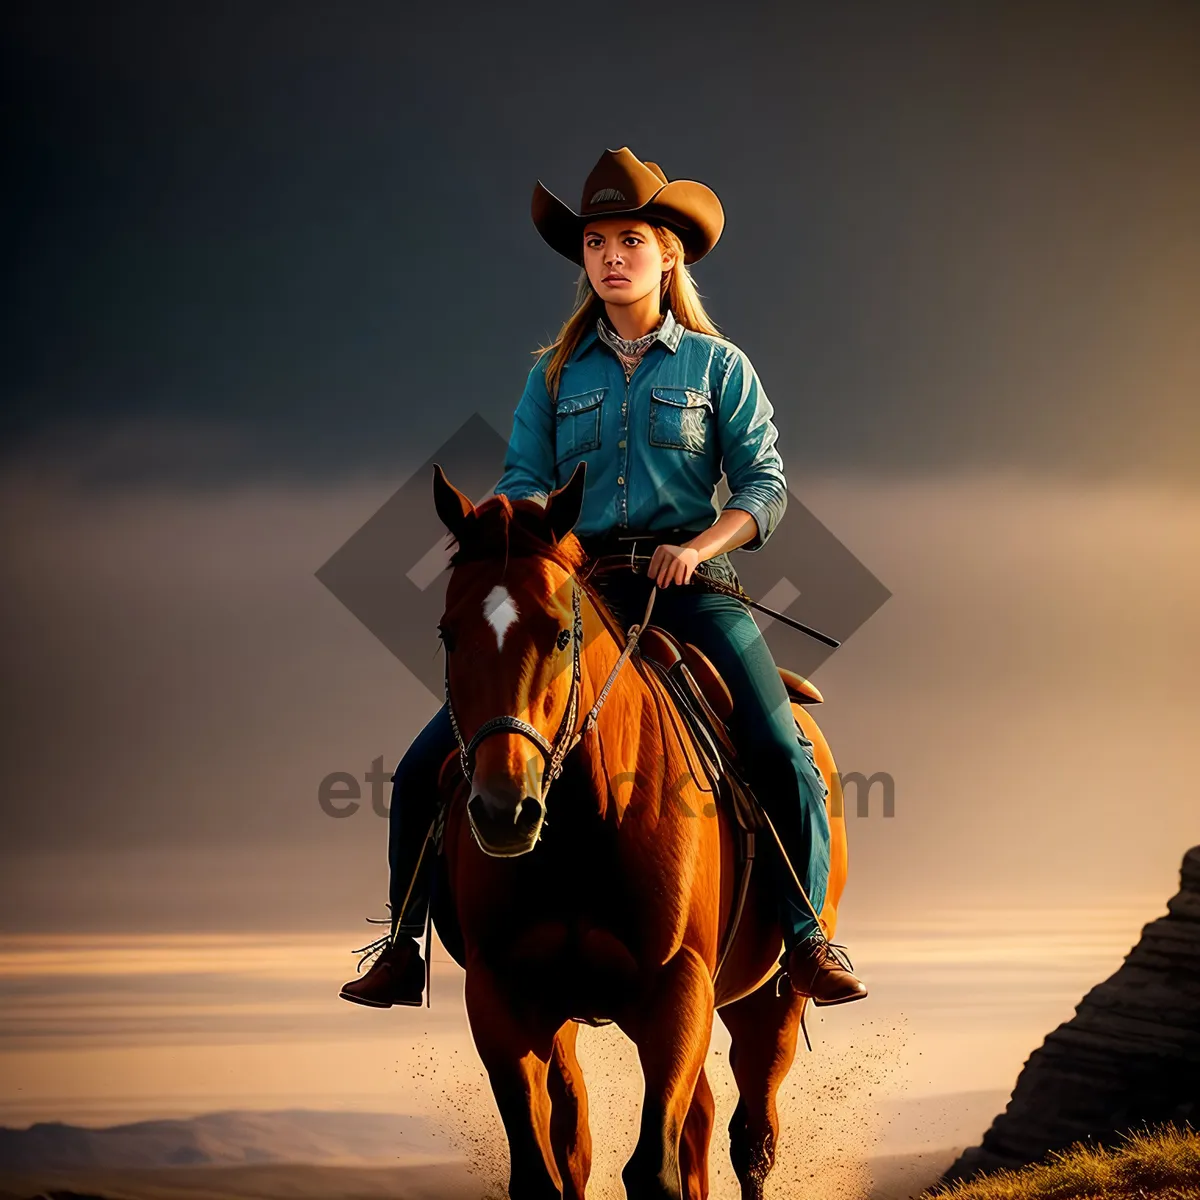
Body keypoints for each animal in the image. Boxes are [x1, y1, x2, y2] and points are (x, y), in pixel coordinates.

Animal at [427, 460, 849, 1200]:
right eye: (450, 635)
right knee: (661, 1127)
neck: (588, 826)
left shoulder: (677, 990)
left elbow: (653, 1169)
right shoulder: (503, 996)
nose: (503, 810)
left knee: (752, 1138)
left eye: (561, 634)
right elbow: (545, 1170)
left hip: (769, 1002)